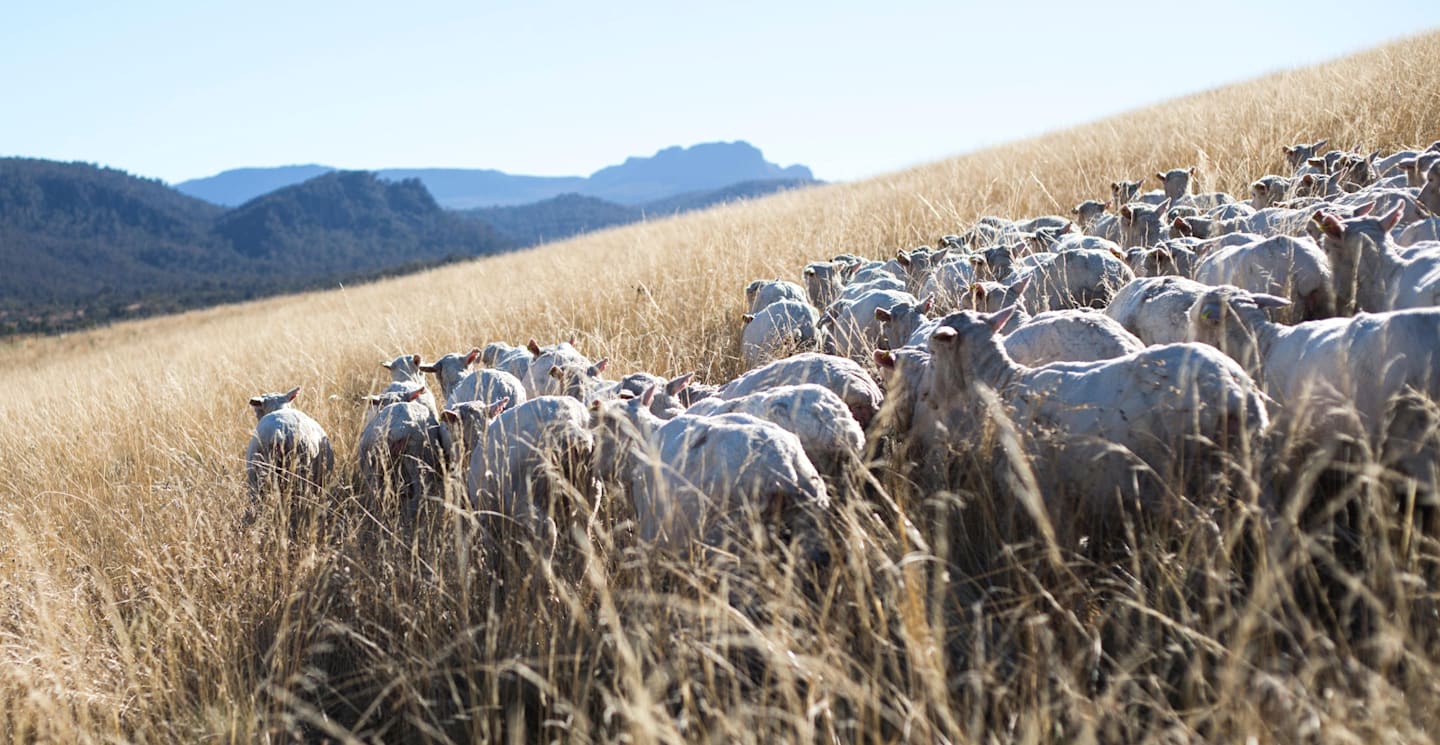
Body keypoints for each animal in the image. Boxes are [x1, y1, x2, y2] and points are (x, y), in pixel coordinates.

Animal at [927, 305, 1267, 524]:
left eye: (933, 349)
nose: (930, 401)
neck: (1003, 385)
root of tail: (1236, 391)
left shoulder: (1047, 492)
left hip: (1188, 475)